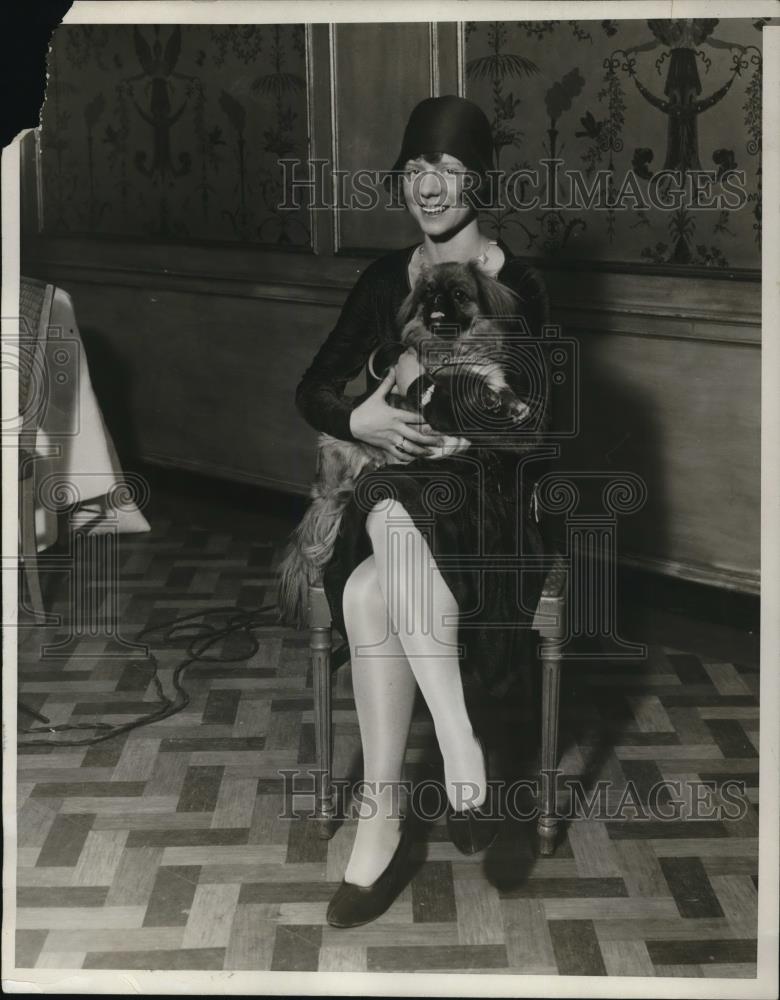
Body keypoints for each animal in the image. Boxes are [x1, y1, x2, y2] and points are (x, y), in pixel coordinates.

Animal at [278, 260, 532, 624]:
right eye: (427, 293)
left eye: (459, 294)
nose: (435, 300)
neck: (460, 346)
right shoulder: (438, 384)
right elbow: (463, 383)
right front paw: (487, 396)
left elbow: (501, 389)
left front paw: (513, 404)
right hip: (345, 468)